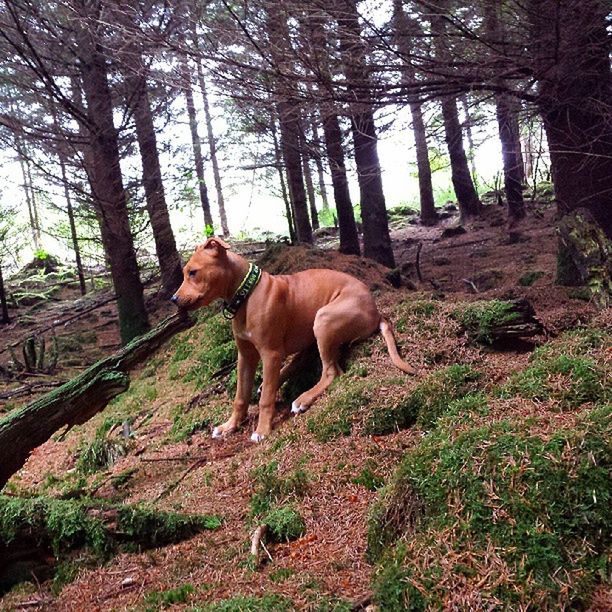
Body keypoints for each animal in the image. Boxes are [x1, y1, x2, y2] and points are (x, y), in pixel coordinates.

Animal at [175, 237, 418, 442]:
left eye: (193, 272)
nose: (173, 299)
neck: (247, 294)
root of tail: (376, 312)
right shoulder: (245, 356)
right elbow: (240, 396)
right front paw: (229, 426)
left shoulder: (270, 354)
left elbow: (265, 401)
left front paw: (262, 430)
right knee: (304, 361)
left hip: (323, 319)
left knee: (332, 372)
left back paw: (303, 399)